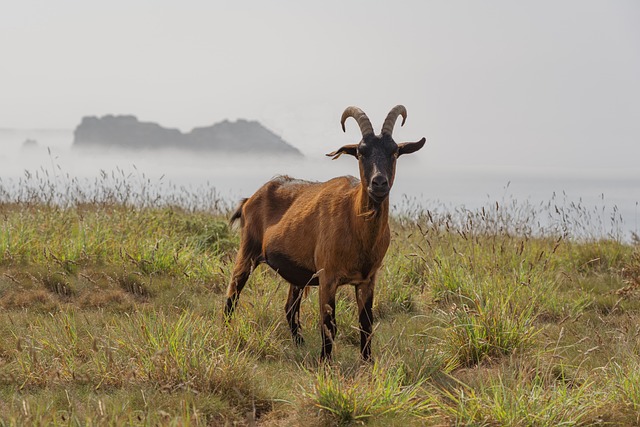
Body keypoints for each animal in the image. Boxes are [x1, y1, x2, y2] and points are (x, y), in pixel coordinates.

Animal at [225, 104, 424, 362]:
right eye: (361, 152)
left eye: (394, 152)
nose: (378, 183)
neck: (356, 227)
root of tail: (249, 200)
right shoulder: (328, 276)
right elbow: (329, 324)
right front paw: (325, 362)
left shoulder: (368, 279)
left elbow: (366, 323)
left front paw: (367, 362)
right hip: (248, 251)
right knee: (233, 293)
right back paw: (226, 331)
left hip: (298, 275)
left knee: (290, 308)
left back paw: (299, 344)